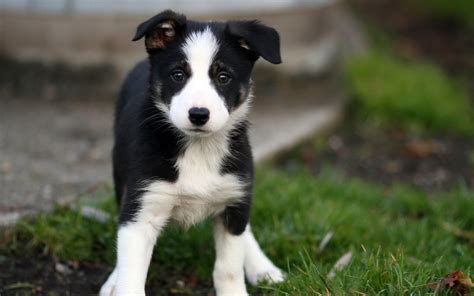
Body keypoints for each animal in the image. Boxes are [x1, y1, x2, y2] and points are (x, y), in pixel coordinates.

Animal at [100, 9, 284, 296]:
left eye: (223, 77)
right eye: (178, 75)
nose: (198, 114)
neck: (199, 148)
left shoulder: (235, 197)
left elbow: (229, 268)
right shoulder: (142, 208)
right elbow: (131, 274)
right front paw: (119, 282)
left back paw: (262, 266)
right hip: (121, 174)